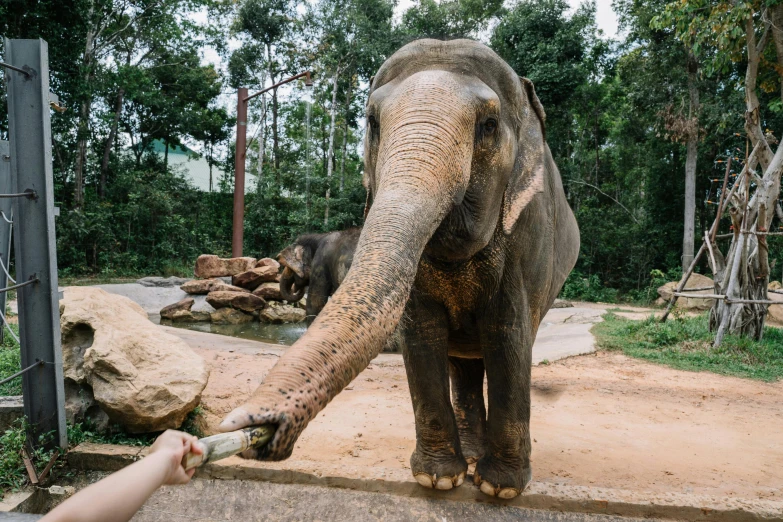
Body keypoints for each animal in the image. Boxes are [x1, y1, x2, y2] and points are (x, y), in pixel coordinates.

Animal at [220, 38, 580, 498]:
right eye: (373, 123)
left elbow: (508, 337)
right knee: (462, 363)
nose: (255, 427)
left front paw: (500, 489)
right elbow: (421, 335)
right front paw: (439, 479)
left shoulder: (528, 239)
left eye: (489, 125)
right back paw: (470, 454)